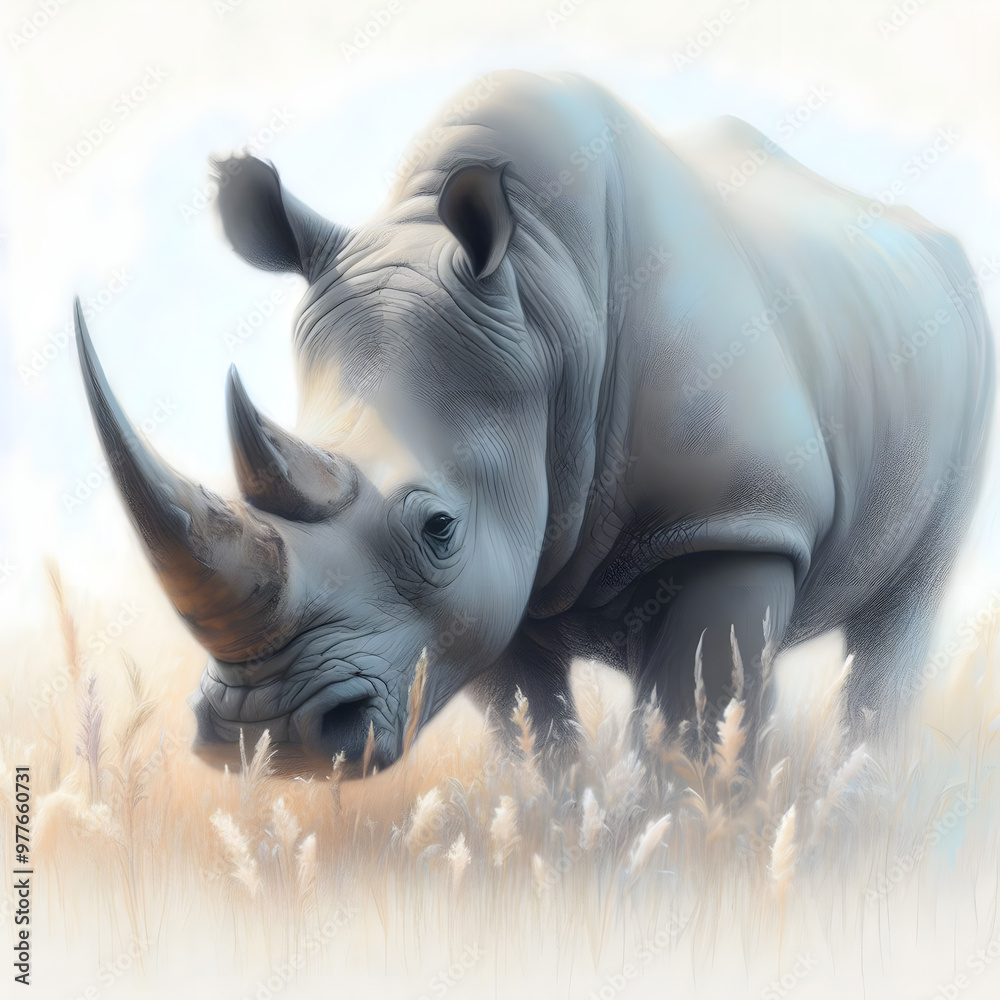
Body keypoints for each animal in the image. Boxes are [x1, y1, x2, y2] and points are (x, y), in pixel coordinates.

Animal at [74, 71, 994, 772]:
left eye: (439, 527)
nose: (263, 735)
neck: (547, 301)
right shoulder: (492, 578)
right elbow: (534, 741)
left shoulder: (738, 517)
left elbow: (696, 730)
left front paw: (690, 850)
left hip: (961, 342)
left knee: (900, 614)